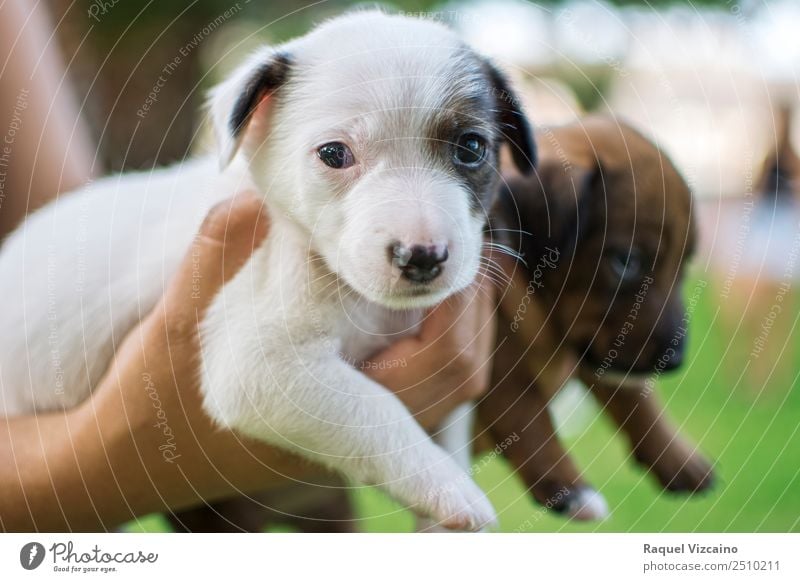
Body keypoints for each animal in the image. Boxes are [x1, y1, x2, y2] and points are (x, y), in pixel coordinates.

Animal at [3, 10, 536, 532]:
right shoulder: (260, 365)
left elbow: (449, 428)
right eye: (334, 153)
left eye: (470, 147)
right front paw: (448, 487)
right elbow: (373, 408)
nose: (422, 256)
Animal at [484, 116, 716, 524]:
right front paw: (568, 486)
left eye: (684, 265)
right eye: (625, 261)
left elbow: (636, 396)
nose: (674, 363)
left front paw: (678, 458)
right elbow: (524, 409)